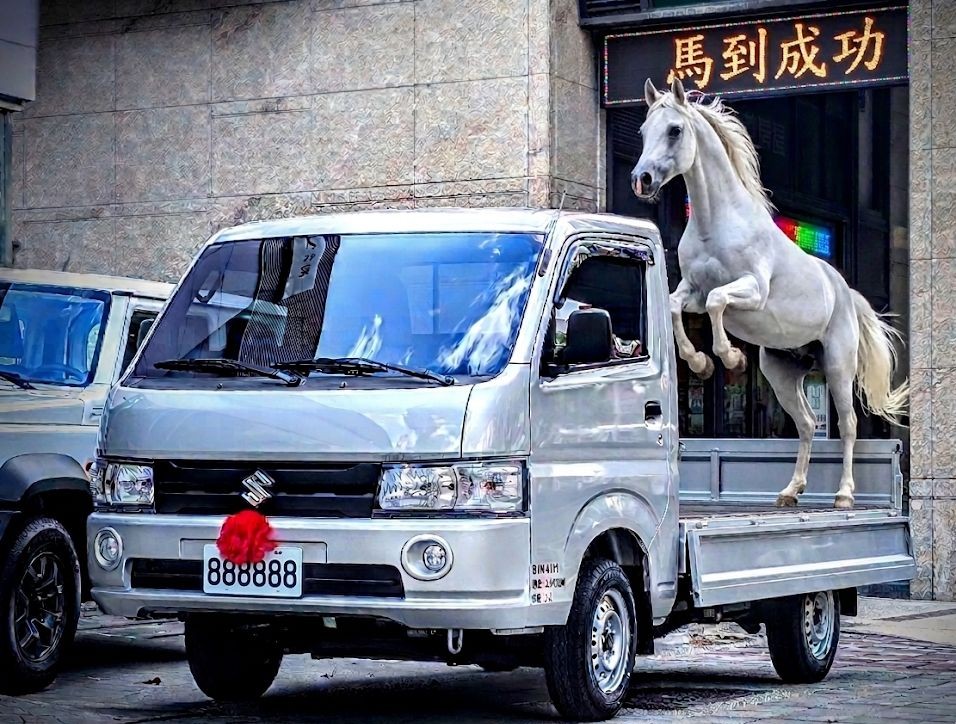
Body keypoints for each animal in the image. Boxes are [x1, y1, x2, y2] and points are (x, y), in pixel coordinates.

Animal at [631, 77, 907, 510]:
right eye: (644, 131)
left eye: (674, 130)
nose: (641, 180)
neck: (716, 224)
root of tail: (845, 291)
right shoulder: (691, 289)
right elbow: (677, 307)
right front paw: (701, 363)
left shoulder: (751, 291)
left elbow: (718, 303)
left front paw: (730, 357)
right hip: (782, 371)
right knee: (808, 424)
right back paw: (790, 491)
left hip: (838, 364)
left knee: (847, 424)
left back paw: (844, 495)